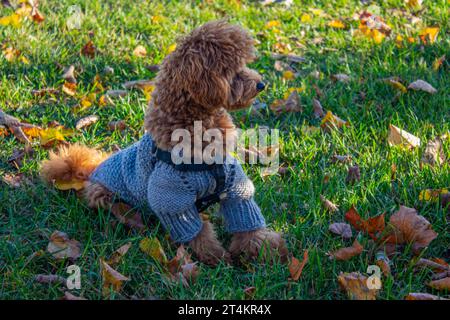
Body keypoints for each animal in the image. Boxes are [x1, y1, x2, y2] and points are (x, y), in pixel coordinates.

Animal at [42, 20, 288, 264]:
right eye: (232, 71)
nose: (261, 85)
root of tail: (89, 171)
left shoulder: (235, 184)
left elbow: (248, 224)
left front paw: (269, 250)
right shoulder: (172, 199)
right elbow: (198, 234)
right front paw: (216, 258)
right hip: (104, 193)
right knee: (118, 209)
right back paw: (135, 221)